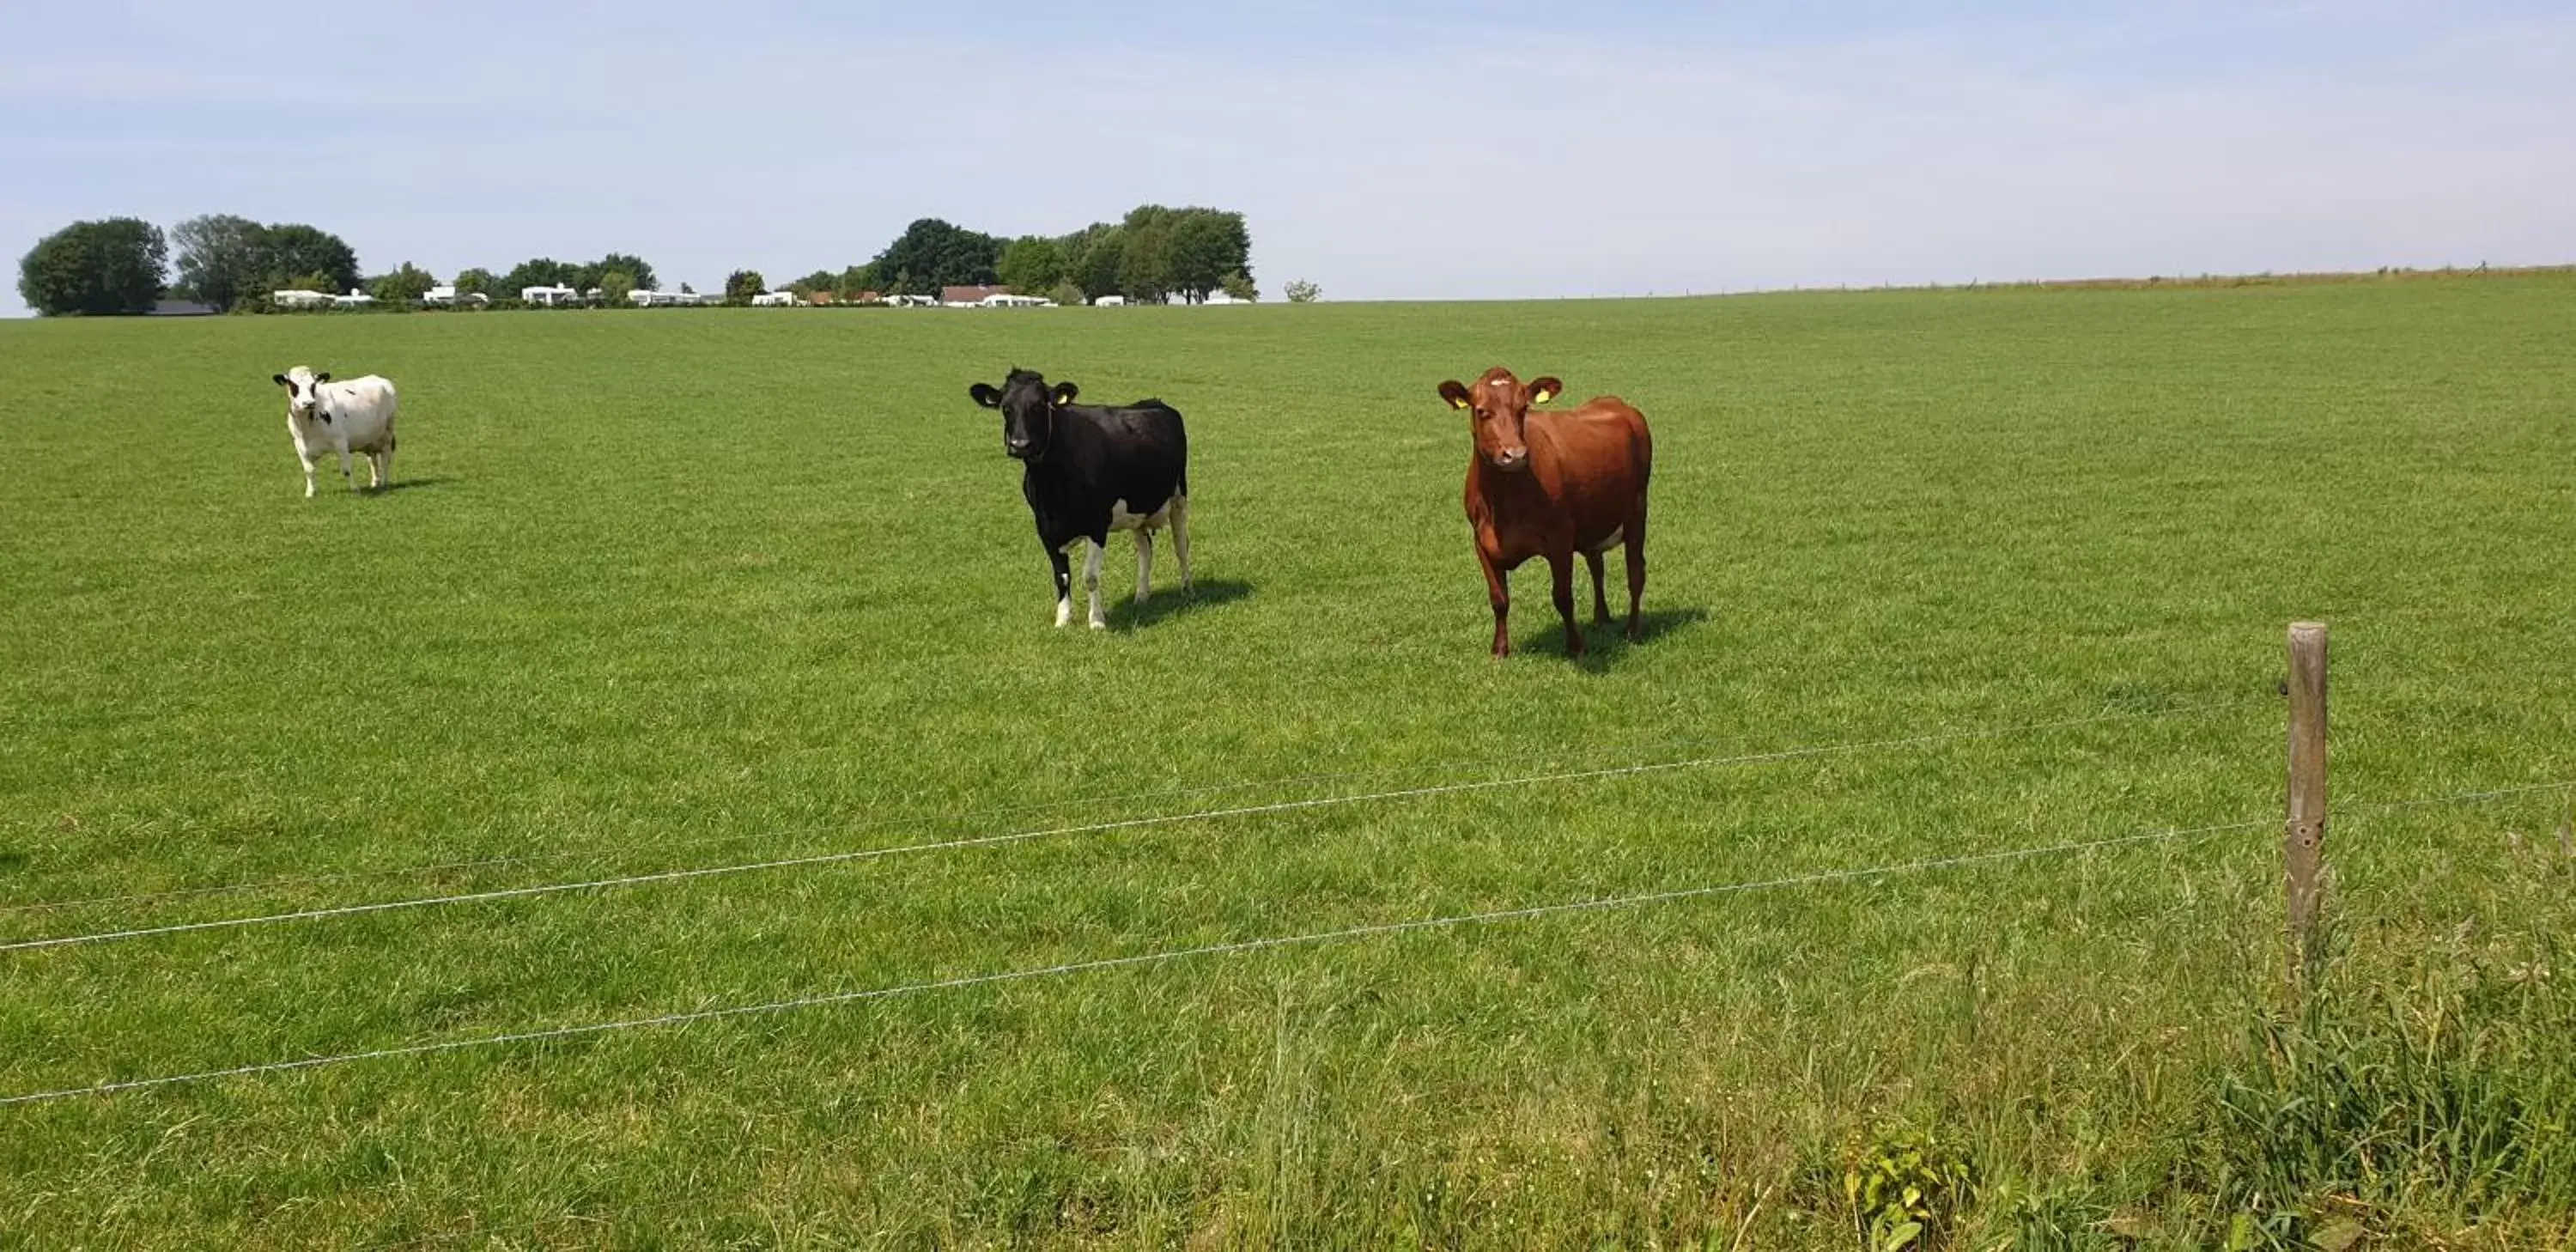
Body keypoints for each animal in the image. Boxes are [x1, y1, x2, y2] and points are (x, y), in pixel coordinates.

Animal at [270, 363, 397, 497]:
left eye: (313, 385)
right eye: (293, 385)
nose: (309, 403)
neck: (307, 428)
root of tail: (379, 379)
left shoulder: (341, 442)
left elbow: (346, 469)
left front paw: (354, 489)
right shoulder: (300, 446)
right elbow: (309, 470)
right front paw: (310, 492)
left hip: (387, 433)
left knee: (385, 459)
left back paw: (384, 482)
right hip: (369, 440)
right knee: (372, 461)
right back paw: (375, 483)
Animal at [969, 368, 1190, 626]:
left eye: (1040, 405)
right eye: (1006, 407)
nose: (1020, 445)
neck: (1053, 486)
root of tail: (1156, 402)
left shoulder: (1097, 526)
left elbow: (1090, 577)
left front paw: (1096, 621)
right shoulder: (1044, 528)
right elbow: (1062, 577)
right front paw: (1063, 620)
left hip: (1179, 499)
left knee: (1181, 545)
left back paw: (1187, 590)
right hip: (1138, 510)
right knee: (1146, 550)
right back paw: (1141, 597)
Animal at [1432, 366, 1649, 659]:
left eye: (1523, 408)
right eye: (1481, 410)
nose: (1515, 455)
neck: (1503, 503)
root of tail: (1616, 403)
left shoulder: (1560, 538)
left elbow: (1563, 597)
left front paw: (1576, 647)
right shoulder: (1481, 541)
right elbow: (1498, 599)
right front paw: (1499, 650)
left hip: (1637, 511)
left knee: (1635, 572)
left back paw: (1632, 631)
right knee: (1597, 566)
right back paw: (1601, 618)